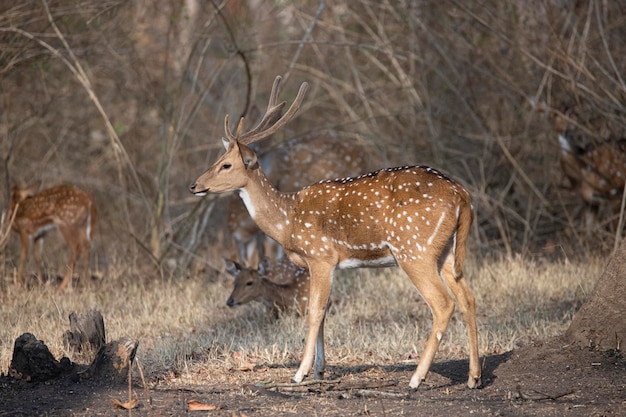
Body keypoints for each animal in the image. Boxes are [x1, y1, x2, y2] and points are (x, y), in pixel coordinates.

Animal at [188, 75, 480, 390]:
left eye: (226, 164)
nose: (194, 185)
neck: (288, 222)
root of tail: (462, 194)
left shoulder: (320, 256)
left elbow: (315, 311)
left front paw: (300, 373)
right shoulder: (324, 264)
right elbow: (325, 310)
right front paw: (319, 370)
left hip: (414, 248)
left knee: (443, 303)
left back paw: (416, 378)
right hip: (446, 251)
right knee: (468, 298)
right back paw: (474, 377)